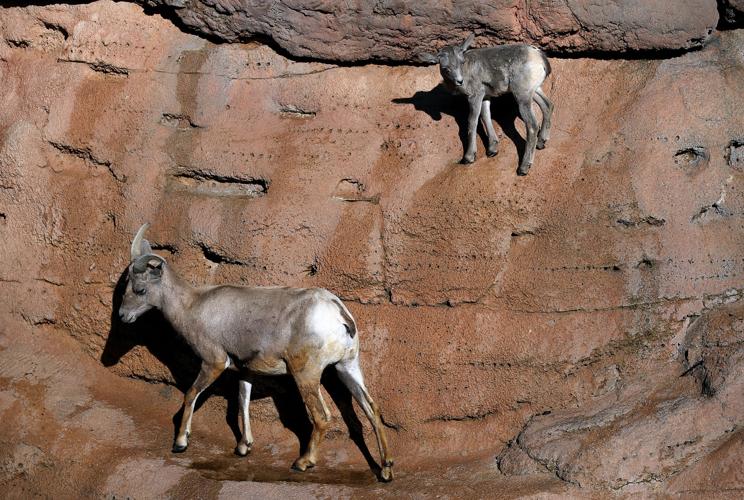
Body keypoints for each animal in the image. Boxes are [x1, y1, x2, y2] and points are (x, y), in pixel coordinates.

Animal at [118, 223, 394, 482]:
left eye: (140, 290)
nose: (123, 315)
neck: (193, 306)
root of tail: (338, 312)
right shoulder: (245, 371)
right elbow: (243, 402)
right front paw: (244, 447)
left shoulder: (213, 362)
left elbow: (191, 394)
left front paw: (180, 443)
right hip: (347, 366)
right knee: (372, 409)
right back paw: (386, 470)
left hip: (306, 374)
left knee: (322, 416)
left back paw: (302, 463)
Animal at [421, 34, 554, 175]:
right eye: (446, 68)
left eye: (461, 62)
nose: (460, 81)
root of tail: (539, 56)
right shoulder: (485, 97)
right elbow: (485, 116)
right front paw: (492, 149)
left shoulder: (475, 96)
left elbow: (472, 121)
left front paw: (469, 157)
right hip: (534, 91)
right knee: (548, 105)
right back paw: (541, 143)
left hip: (522, 96)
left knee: (532, 125)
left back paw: (523, 168)